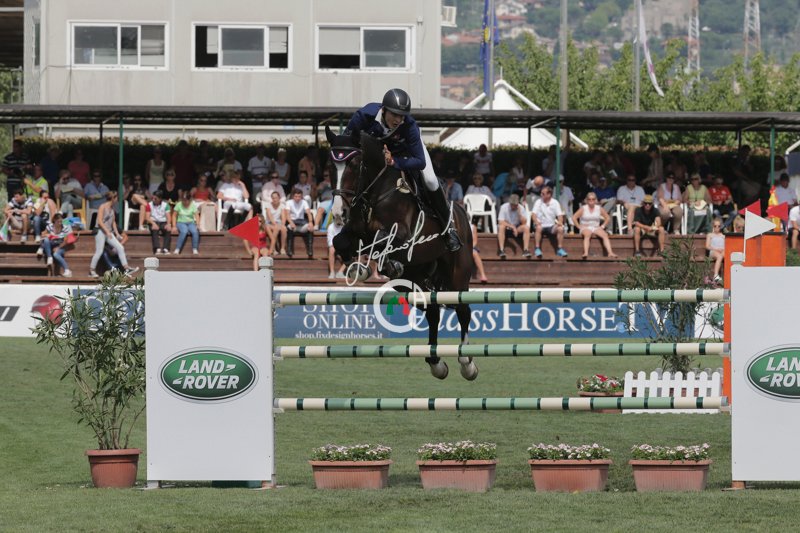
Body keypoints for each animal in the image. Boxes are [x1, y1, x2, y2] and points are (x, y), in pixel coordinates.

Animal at [326, 127, 478, 380]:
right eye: (330, 166)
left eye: (354, 164)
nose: (339, 213)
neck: (376, 192)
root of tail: (460, 212)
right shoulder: (355, 231)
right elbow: (341, 241)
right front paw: (358, 269)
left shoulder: (405, 236)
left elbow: (382, 239)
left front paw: (382, 264)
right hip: (413, 280)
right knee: (432, 311)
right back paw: (436, 363)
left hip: (458, 275)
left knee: (462, 310)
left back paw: (467, 363)